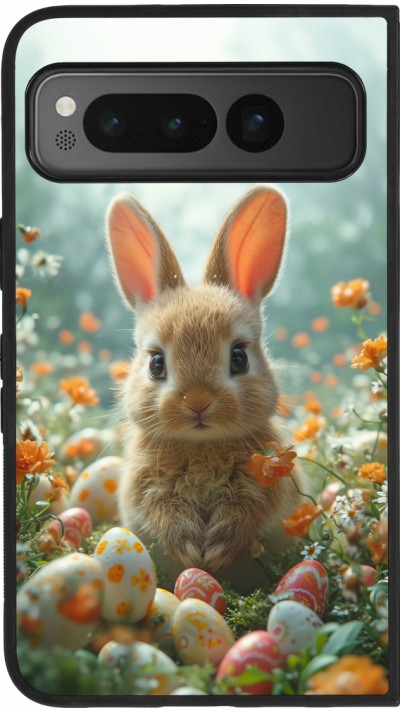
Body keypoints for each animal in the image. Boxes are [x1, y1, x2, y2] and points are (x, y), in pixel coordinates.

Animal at [106, 186, 299, 577]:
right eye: (156, 363)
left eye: (239, 357)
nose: (197, 402)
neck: (201, 445)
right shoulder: (144, 487)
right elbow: (161, 510)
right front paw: (191, 549)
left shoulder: (268, 484)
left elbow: (248, 510)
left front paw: (219, 549)